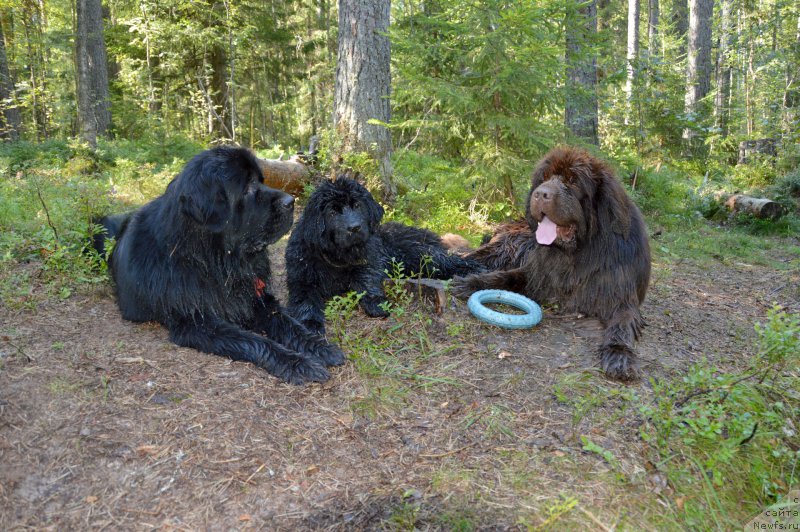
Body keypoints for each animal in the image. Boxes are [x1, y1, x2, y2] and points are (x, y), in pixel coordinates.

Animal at [94, 147, 344, 386]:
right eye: (247, 188)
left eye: (261, 180)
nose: (291, 202)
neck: (216, 261)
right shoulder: (197, 322)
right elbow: (254, 341)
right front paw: (297, 363)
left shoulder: (255, 297)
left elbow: (289, 323)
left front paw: (318, 347)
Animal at [288, 177, 488, 334]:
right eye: (331, 212)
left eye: (357, 205)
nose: (355, 228)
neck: (337, 256)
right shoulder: (301, 278)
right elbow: (304, 300)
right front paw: (309, 323)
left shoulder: (372, 259)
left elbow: (365, 278)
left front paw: (375, 303)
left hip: (420, 254)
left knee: (448, 261)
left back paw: (475, 268)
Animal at [454, 148, 652, 380]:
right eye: (545, 178)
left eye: (574, 181)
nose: (541, 194)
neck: (575, 254)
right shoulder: (537, 273)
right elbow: (504, 278)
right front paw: (472, 283)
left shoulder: (619, 295)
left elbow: (622, 325)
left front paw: (620, 354)